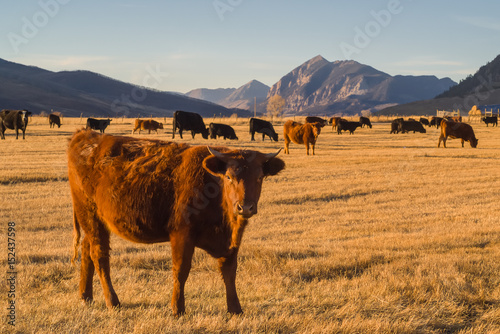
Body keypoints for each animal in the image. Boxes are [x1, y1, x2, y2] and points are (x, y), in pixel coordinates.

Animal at [67, 130, 286, 316]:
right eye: (229, 177)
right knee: (100, 256)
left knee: (87, 250)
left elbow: (229, 271)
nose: (245, 207)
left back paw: (86, 296)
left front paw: (235, 309)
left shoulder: (232, 240)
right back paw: (112, 301)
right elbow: (181, 270)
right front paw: (177, 309)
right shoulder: (182, 234)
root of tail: (85, 135)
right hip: (91, 216)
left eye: (259, 177)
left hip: (94, 222)